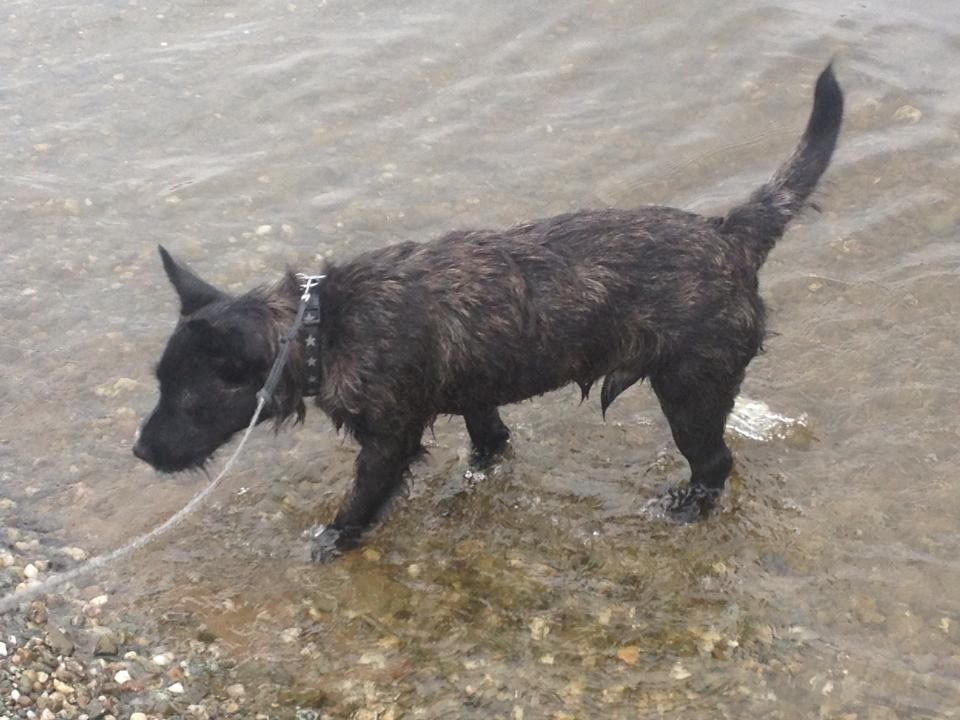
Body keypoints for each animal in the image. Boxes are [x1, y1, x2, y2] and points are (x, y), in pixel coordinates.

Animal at [133, 64, 840, 560]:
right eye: (158, 385)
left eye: (189, 399)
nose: (138, 451)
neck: (320, 327)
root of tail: (731, 234)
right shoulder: (475, 399)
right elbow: (489, 442)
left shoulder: (388, 441)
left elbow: (360, 500)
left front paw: (333, 541)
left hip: (691, 390)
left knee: (715, 463)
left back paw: (687, 508)